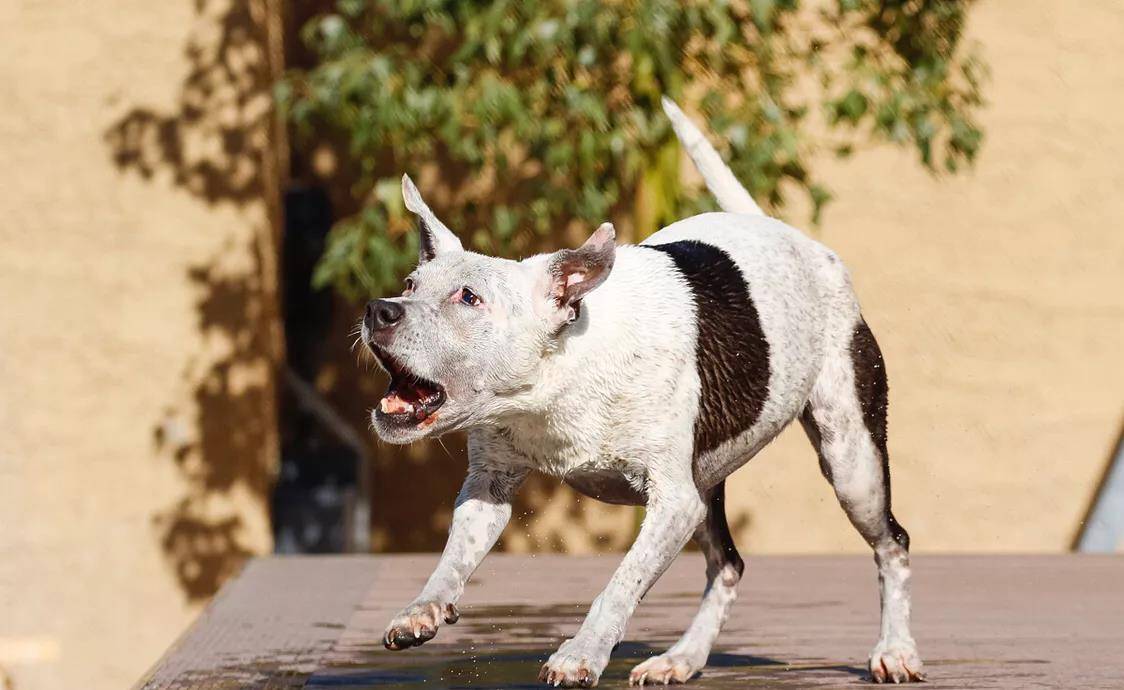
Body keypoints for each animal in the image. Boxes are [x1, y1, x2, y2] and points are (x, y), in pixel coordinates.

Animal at [364, 97, 926, 687]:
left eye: (469, 298)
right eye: (409, 285)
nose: (379, 310)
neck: (563, 374)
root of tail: (795, 239)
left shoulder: (672, 504)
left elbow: (620, 585)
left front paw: (581, 653)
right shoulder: (488, 487)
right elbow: (454, 558)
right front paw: (423, 610)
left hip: (851, 464)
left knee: (892, 543)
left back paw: (896, 649)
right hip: (709, 487)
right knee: (727, 565)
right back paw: (682, 658)